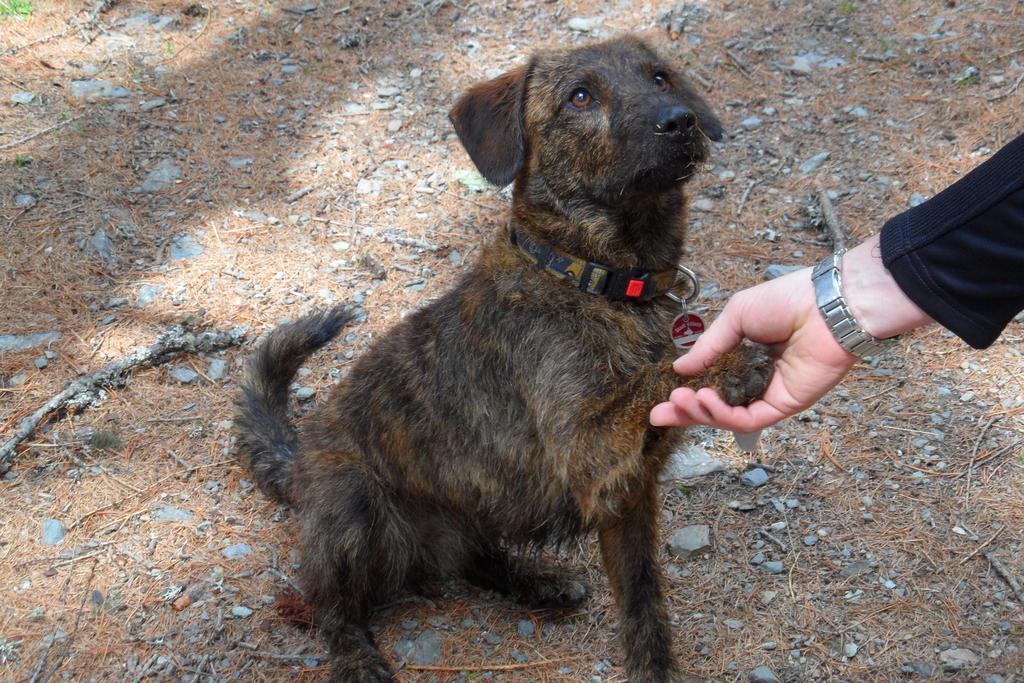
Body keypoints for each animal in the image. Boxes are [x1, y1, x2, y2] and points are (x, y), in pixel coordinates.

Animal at [235, 34, 770, 679]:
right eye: (580, 97)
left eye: (660, 77)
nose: (679, 120)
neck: (600, 281)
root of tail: (298, 463)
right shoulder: (587, 446)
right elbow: (657, 376)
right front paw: (728, 365)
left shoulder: (628, 497)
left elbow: (646, 615)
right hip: (353, 507)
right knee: (328, 606)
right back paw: (357, 656)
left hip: (464, 512)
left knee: (473, 560)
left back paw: (536, 581)